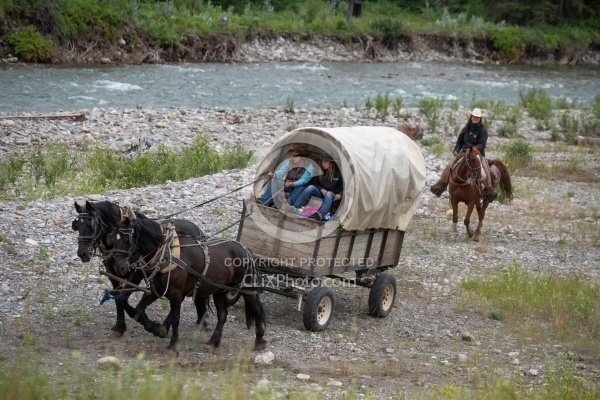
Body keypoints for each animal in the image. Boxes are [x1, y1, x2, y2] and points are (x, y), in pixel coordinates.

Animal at [72, 200, 209, 334]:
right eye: (77, 225)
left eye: (91, 224)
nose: (82, 253)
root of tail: (196, 229)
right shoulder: (114, 274)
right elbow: (118, 299)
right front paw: (120, 326)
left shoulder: (136, 274)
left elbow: (122, 299)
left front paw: (149, 324)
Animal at [108, 217, 268, 352]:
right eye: (113, 240)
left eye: (127, 240)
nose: (118, 267)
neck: (167, 254)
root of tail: (245, 249)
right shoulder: (156, 290)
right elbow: (138, 310)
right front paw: (156, 328)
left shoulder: (176, 292)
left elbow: (175, 318)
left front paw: (172, 344)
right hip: (220, 290)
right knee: (222, 314)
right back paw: (214, 341)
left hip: (246, 288)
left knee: (256, 310)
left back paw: (260, 340)